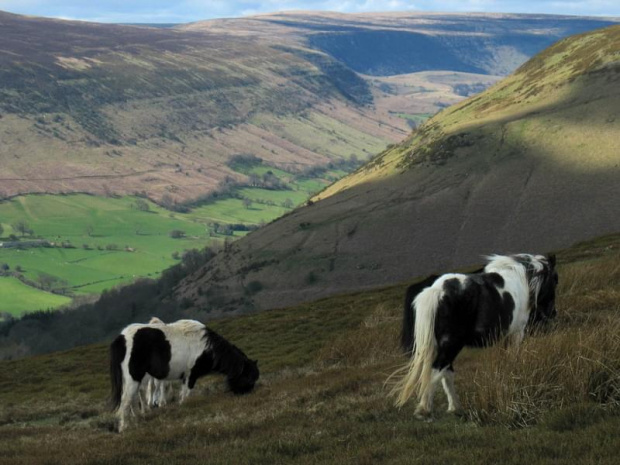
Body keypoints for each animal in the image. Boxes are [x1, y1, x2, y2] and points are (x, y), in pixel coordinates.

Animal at [110, 318, 258, 430]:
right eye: (249, 379)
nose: (246, 396)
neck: (207, 346)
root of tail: (121, 338)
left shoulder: (185, 377)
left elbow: (182, 395)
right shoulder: (191, 376)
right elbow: (186, 396)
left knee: (133, 399)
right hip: (133, 378)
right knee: (126, 400)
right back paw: (125, 427)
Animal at [392, 252, 556, 418]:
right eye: (554, 280)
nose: (552, 314)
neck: (521, 277)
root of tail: (437, 291)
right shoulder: (516, 333)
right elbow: (512, 359)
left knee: (446, 373)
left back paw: (454, 407)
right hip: (451, 345)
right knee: (437, 370)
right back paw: (425, 409)